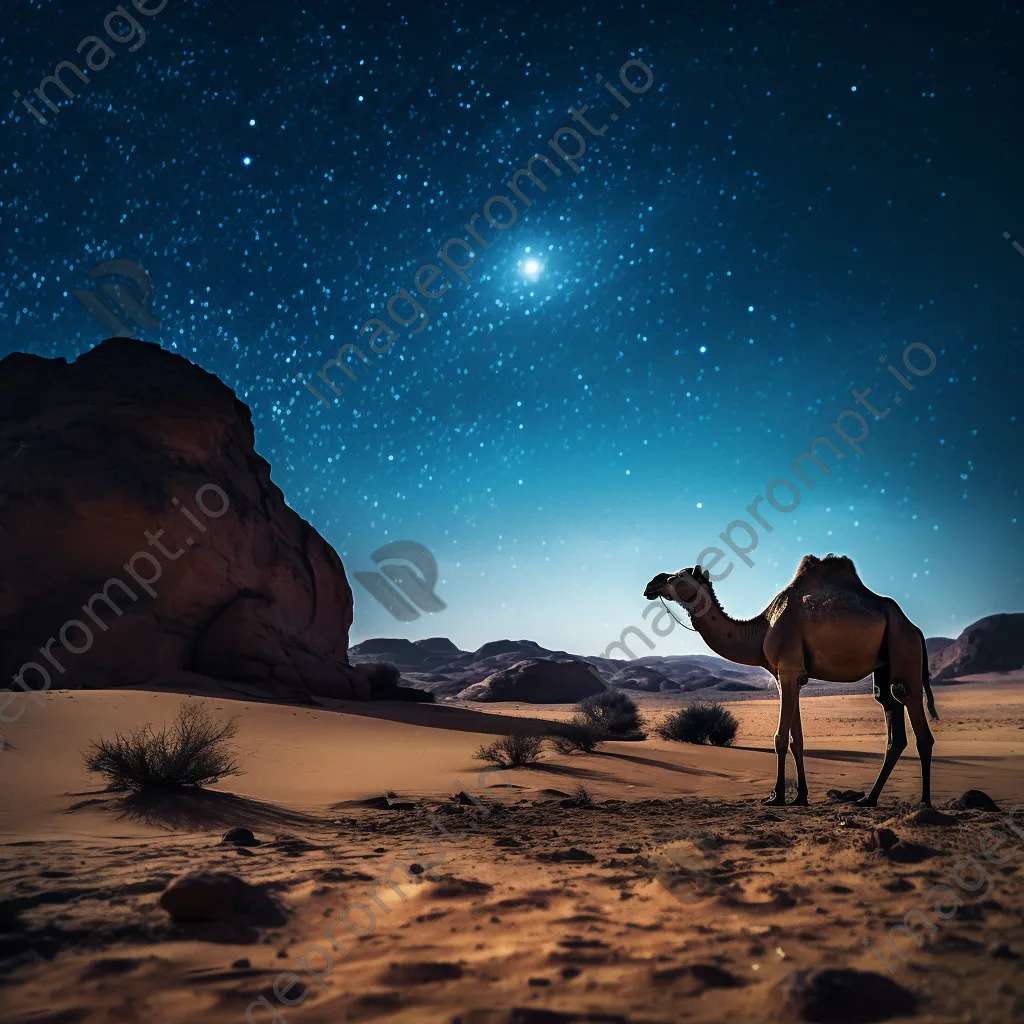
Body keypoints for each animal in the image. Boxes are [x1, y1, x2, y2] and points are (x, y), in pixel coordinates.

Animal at [643, 557, 937, 802]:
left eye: (676, 577)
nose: (651, 584)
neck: (761, 630)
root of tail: (914, 627)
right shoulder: (787, 676)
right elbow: (798, 740)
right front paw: (800, 797)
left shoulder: (787, 670)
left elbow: (780, 738)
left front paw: (777, 797)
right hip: (886, 664)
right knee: (890, 715)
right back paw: (869, 799)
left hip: (904, 648)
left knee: (916, 720)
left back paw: (924, 802)